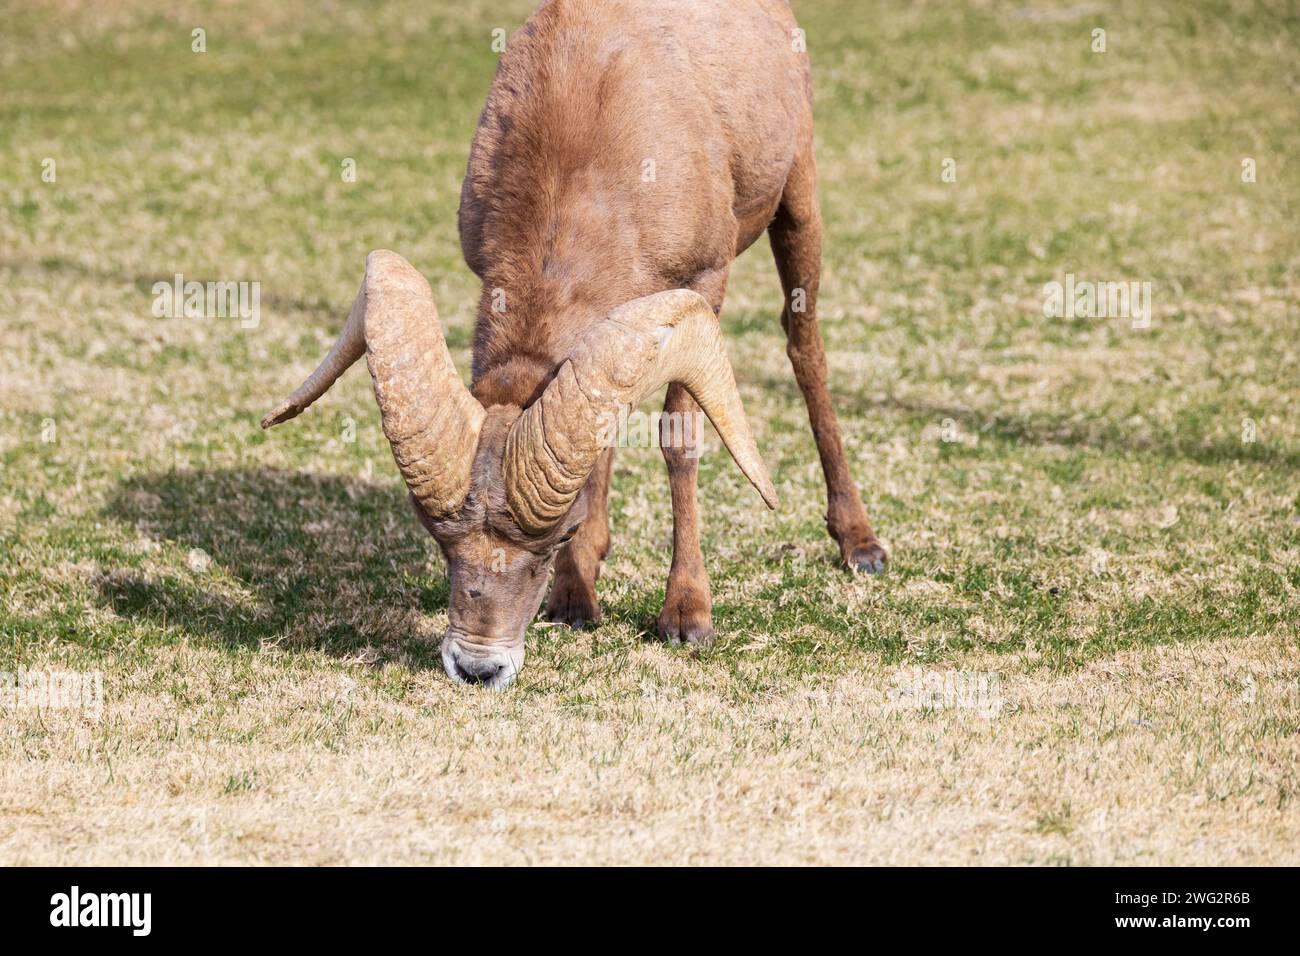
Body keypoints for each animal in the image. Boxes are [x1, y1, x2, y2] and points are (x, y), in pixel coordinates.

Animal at [262, 0, 887, 688]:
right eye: (439, 541)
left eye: (553, 539)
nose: (478, 668)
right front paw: (574, 600)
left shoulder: (705, 281)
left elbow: (680, 441)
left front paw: (686, 619)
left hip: (798, 200)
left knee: (806, 350)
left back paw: (859, 545)